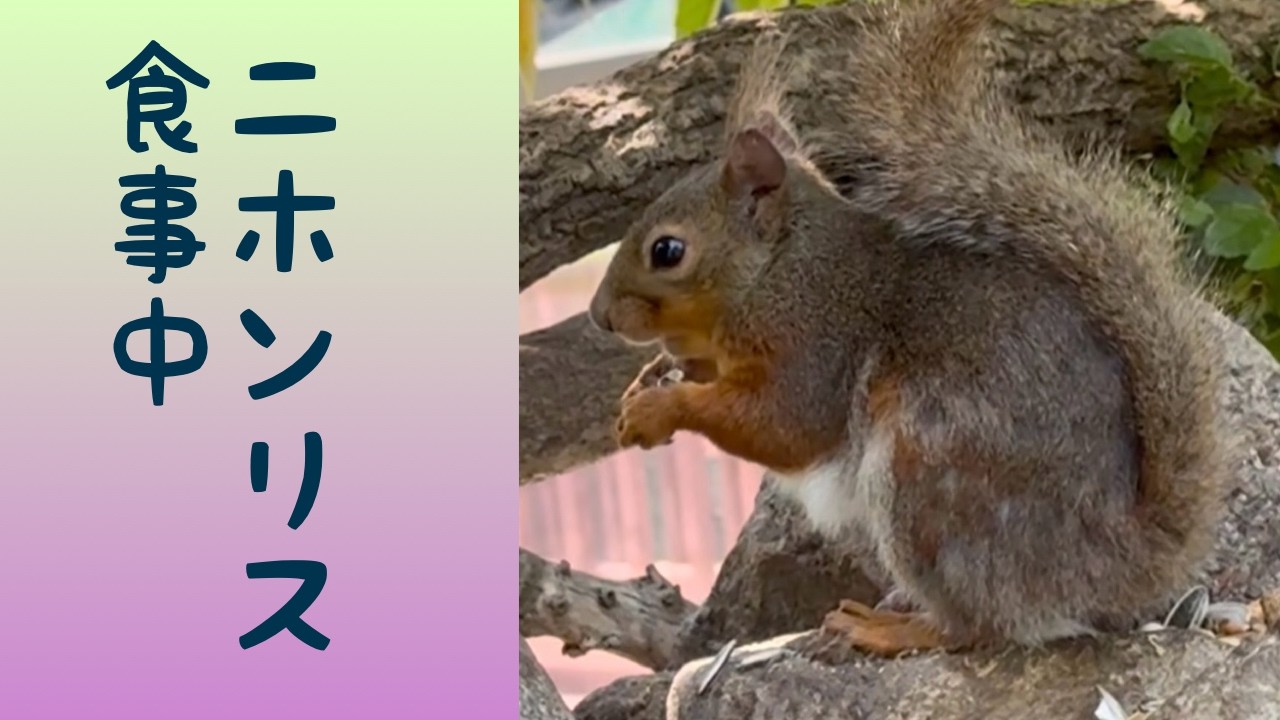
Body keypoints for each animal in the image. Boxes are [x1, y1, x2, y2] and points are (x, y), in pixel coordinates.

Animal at [586, 0, 1230, 655]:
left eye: (667, 251)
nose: (599, 316)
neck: (779, 269)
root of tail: (1115, 562)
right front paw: (652, 378)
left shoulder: (813, 344)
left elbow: (783, 427)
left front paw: (661, 408)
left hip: (926, 477)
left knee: (980, 627)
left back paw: (893, 628)